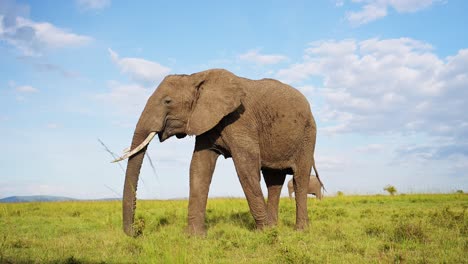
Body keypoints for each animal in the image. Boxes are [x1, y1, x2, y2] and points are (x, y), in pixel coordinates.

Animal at [112, 68, 322, 237]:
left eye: (167, 101)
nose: (137, 230)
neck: (196, 77)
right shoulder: (206, 121)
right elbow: (199, 168)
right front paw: (194, 237)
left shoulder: (240, 120)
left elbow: (246, 167)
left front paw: (262, 233)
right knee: (273, 181)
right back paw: (274, 227)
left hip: (308, 133)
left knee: (300, 178)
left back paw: (299, 230)